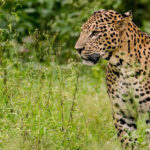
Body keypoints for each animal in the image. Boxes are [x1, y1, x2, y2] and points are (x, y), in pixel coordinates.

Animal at [74, 9, 150, 149]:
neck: (124, 66)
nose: (78, 49)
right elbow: (128, 141)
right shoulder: (123, 112)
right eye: (82, 31)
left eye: (95, 33)